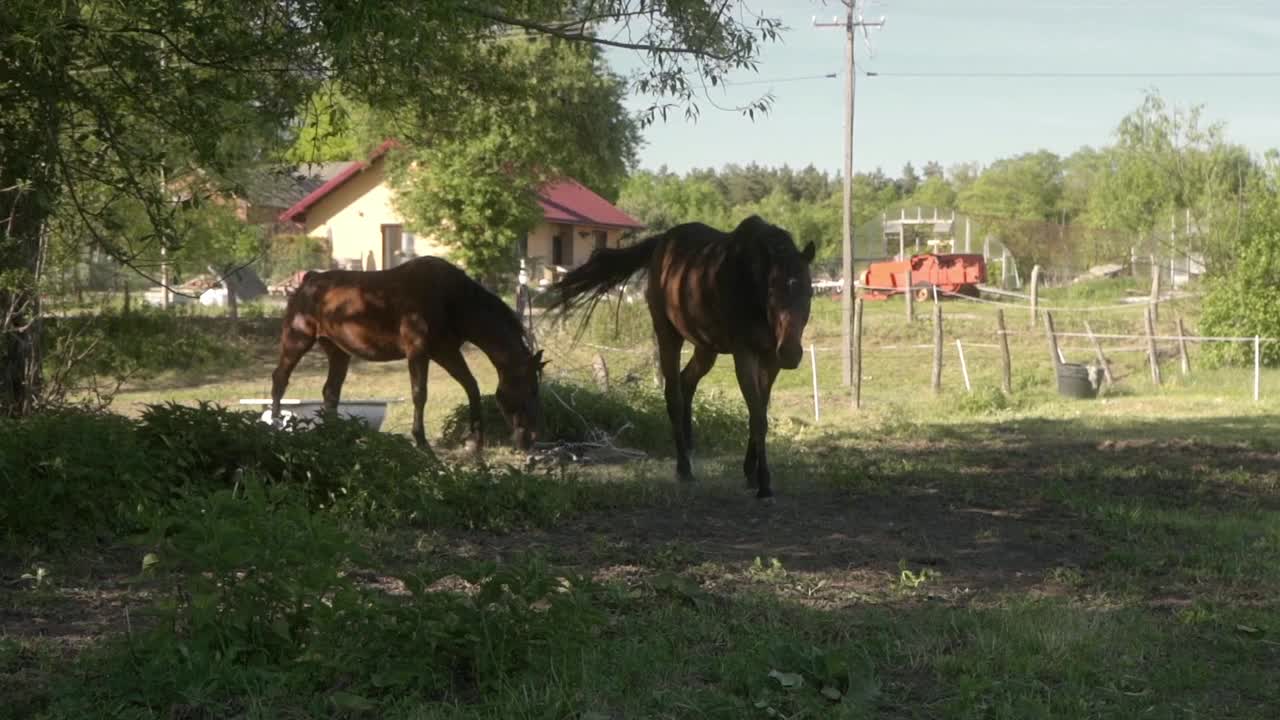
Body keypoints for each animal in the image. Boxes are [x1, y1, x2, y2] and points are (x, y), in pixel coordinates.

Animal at [272, 254, 542, 448]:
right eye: (530, 388)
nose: (530, 438)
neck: (453, 299)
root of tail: (308, 280)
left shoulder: (445, 351)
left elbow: (471, 386)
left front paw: (474, 442)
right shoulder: (418, 351)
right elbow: (419, 394)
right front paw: (422, 443)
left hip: (338, 351)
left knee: (330, 392)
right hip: (297, 339)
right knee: (280, 380)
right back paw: (275, 426)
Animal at [547, 215, 808, 497]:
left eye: (808, 292)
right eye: (773, 293)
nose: (791, 354)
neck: (750, 279)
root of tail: (662, 243)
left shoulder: (771, 360)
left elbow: (760, 412)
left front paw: (751, 471)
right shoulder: (745, 355)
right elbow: (758, 417)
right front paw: (763, 483)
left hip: (706, 346)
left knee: (687, 382)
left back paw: (690, 447)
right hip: (668, 335)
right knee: (674, 395)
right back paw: (683, 467)